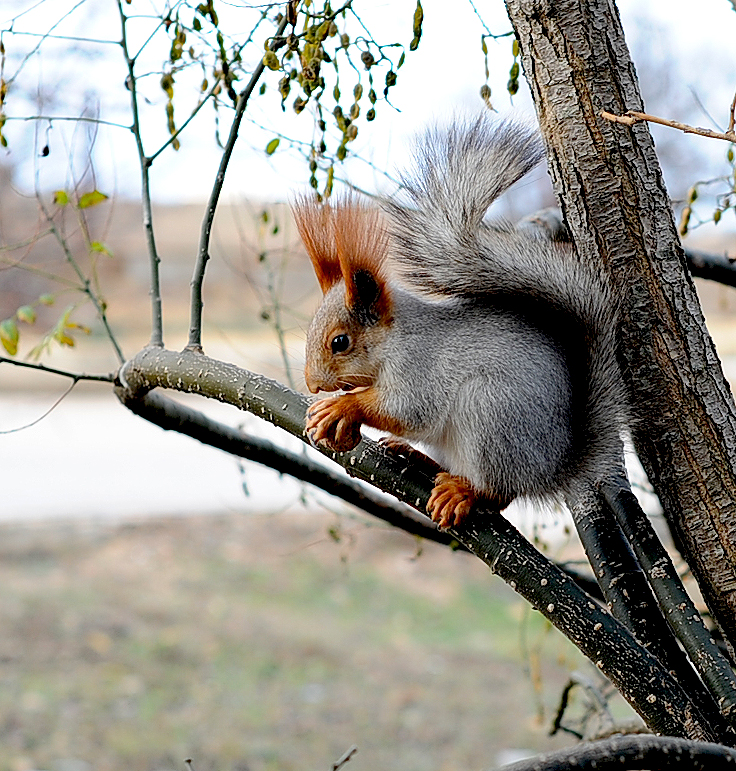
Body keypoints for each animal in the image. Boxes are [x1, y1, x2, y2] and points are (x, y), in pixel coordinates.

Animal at [294, 116, 628, 532]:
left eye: (340, 342)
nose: (312, 384)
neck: (395, 339)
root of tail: (553, 470)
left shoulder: (418, 370)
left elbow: (406, 409)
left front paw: (343, 408)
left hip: (489, 413)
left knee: (499, 493)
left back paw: (464, 492)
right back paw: (416, 456)